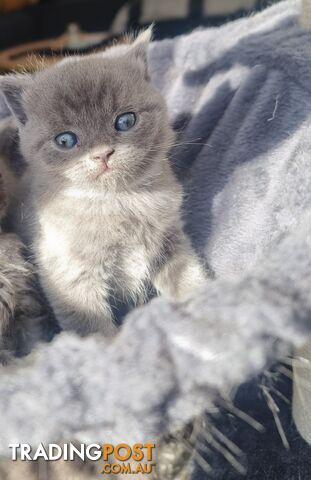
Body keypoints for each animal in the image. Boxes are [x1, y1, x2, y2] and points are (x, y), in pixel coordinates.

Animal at [0, 29, 210, 338]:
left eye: (125, 121)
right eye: (65, 140)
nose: (102, 153)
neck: (117, 202)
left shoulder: (170, 238)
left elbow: (187, 275)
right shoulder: (69, 274)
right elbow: (91, 326)